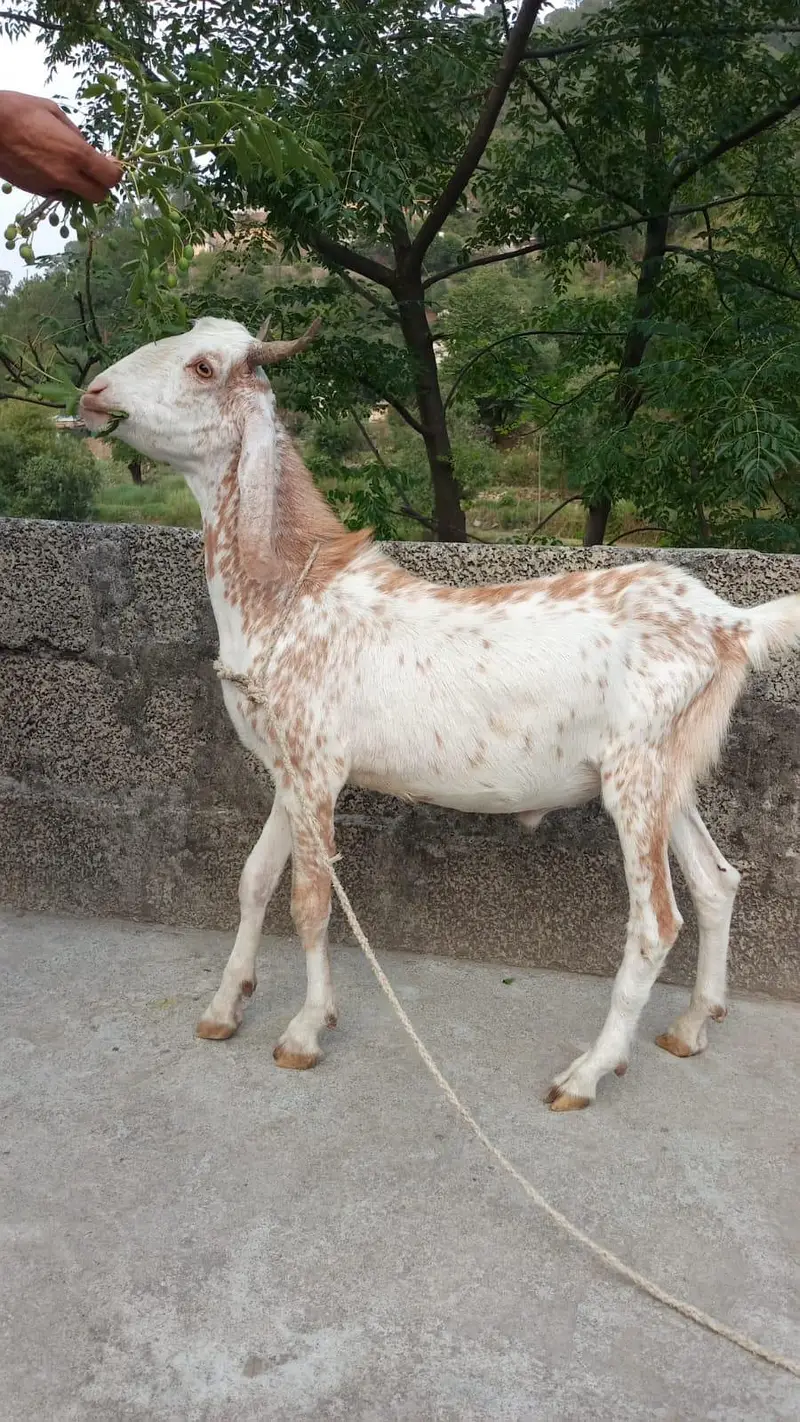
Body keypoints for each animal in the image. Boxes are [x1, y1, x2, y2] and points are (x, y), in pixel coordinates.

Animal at [79, 317, 800, 1110]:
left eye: (204, 366)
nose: (93, 392)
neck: (287, 599)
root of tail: (731, 623)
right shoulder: (288, 769)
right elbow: (255, 879)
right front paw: (224, 1006)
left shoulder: (318, 770)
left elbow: (310, 901)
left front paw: (304, 1031)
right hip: (669, 774)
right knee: (716, 881)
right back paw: (692, 1026)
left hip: (635, 781)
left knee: (656, 923)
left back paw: (586, 1073)